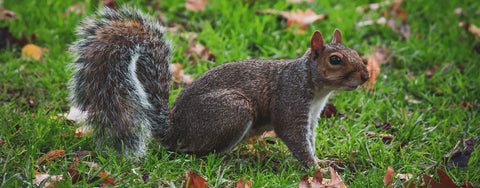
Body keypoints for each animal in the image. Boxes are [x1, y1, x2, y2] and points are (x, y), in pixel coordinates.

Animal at [67, 5, 370, 167]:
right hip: (233, 110)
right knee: (196, 153)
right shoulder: (290, 100)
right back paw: (228, 160)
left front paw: (323, 163)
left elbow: (309, 139)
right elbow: (294, 137)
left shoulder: (311, 116)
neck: (312, 84)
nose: (366, 76)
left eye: (355, 51)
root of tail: (173, 129)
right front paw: (315, 169)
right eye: (335, 59)